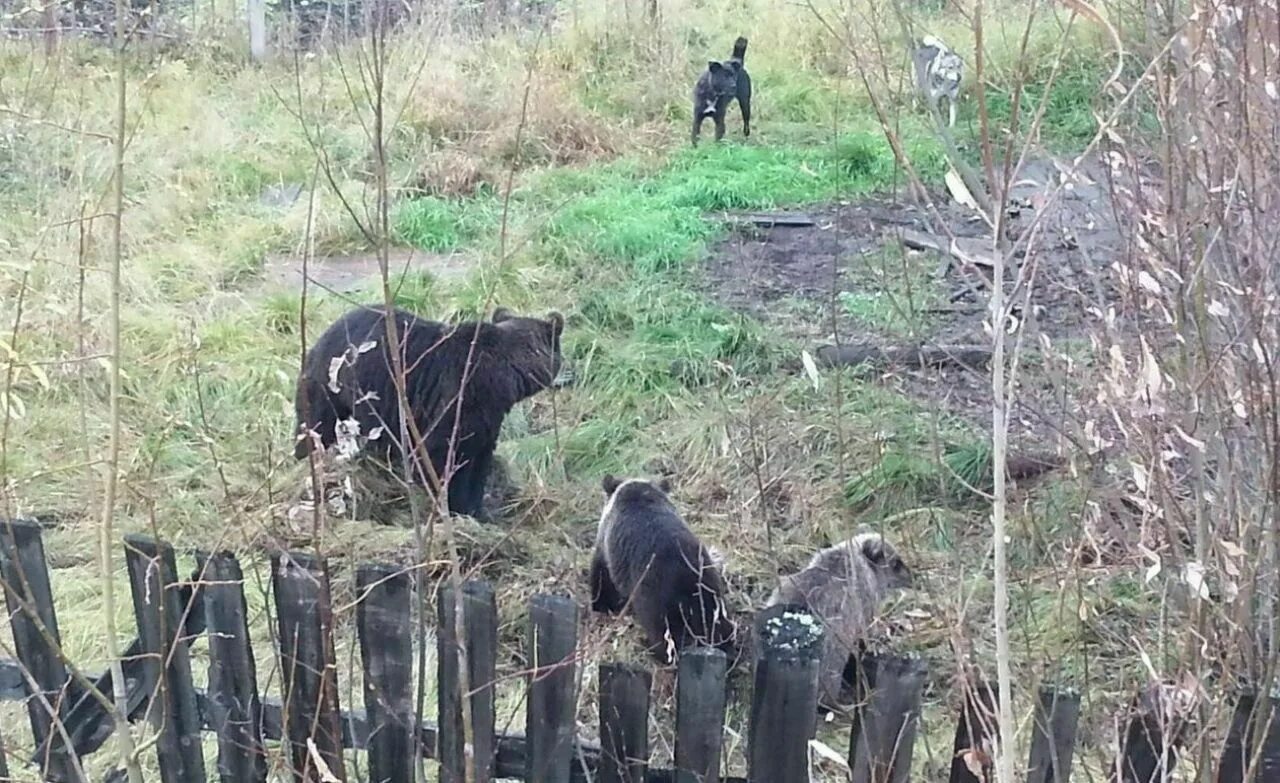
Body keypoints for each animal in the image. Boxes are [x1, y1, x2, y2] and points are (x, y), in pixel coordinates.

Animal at [298, 304, 565, 519]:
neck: (505, 377)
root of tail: (318, 340)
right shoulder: (460, 397)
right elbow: (442, 454)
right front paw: (454, 506)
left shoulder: (489, 417)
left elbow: (479, 459)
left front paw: (478, 510)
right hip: (328, 387)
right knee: (314, 429)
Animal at [586, 473, 737, 665]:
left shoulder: (607, 548)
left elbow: (602, 577)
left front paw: (601, 604)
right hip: (710, 590)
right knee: (719, 625)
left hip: (655, 597)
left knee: (663, 635)